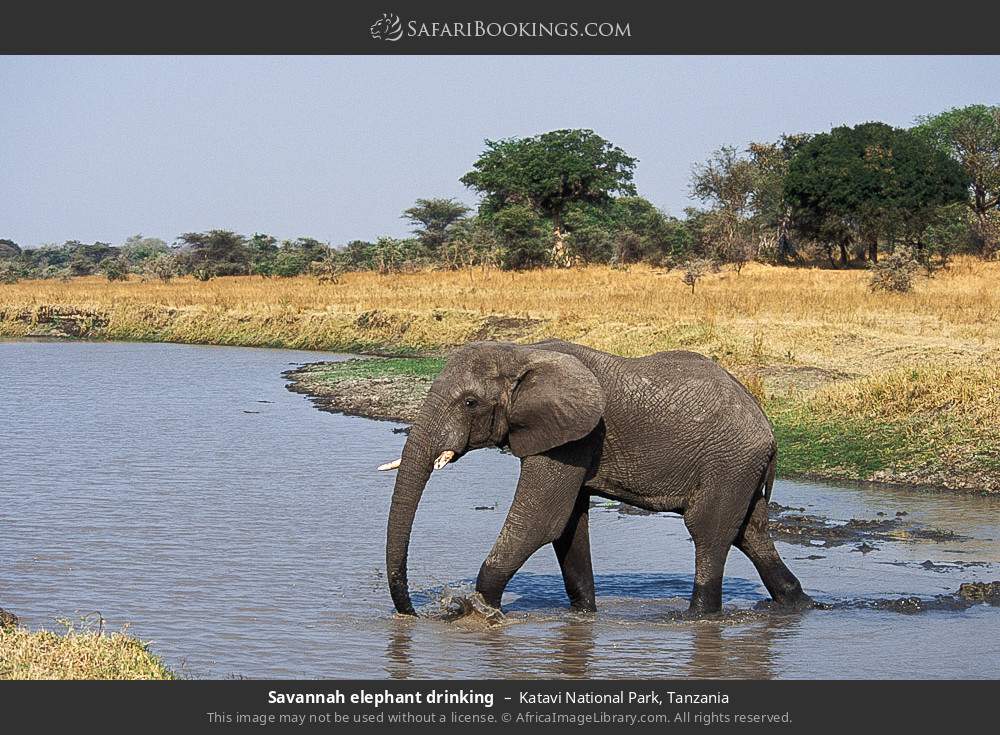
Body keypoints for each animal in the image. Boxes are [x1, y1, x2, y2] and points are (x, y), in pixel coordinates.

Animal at [381, 339, 812, 616]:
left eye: (470, 403)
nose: (413, 614)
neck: (522, 352)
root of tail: (767, 426)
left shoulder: (575, 435)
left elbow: (541, 521)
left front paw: (476, 609)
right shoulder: (570, 437)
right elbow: (569, 526)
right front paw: (584, 615)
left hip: (729, 461)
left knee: (709, 532)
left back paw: (696, 617)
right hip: (741, 468)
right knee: (750, 533)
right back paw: (798, 605)